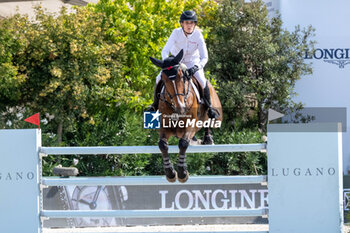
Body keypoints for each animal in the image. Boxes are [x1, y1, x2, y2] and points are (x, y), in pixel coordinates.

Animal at [150, 50, 221, 183]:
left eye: (182, 77)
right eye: (163, 79)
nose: (181, 108)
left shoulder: (191, 124)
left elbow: (183, 143)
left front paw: (182, 173)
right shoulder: (164, 127)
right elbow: (162, 145)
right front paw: (170, 173)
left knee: (208, 120)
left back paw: (208, 139)